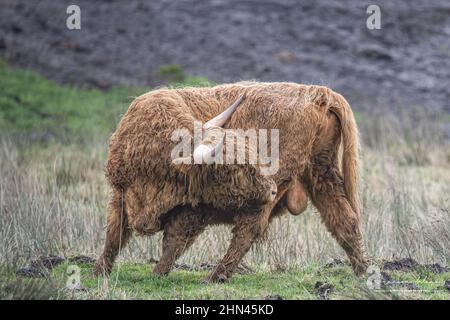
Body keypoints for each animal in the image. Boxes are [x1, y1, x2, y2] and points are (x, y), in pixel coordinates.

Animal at [93, 81, 368, 282]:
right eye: (233, 167)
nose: (270, 190)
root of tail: (319, 94)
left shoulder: (194, 209)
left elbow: (172, 240)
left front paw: (157, 274)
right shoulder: (120, 193)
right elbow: (114, 235)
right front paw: (99, 273)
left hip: (282, 183)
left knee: (249, 229)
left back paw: (214, 276)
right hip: (321, 173)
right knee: (344, 220)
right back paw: (364, 272)